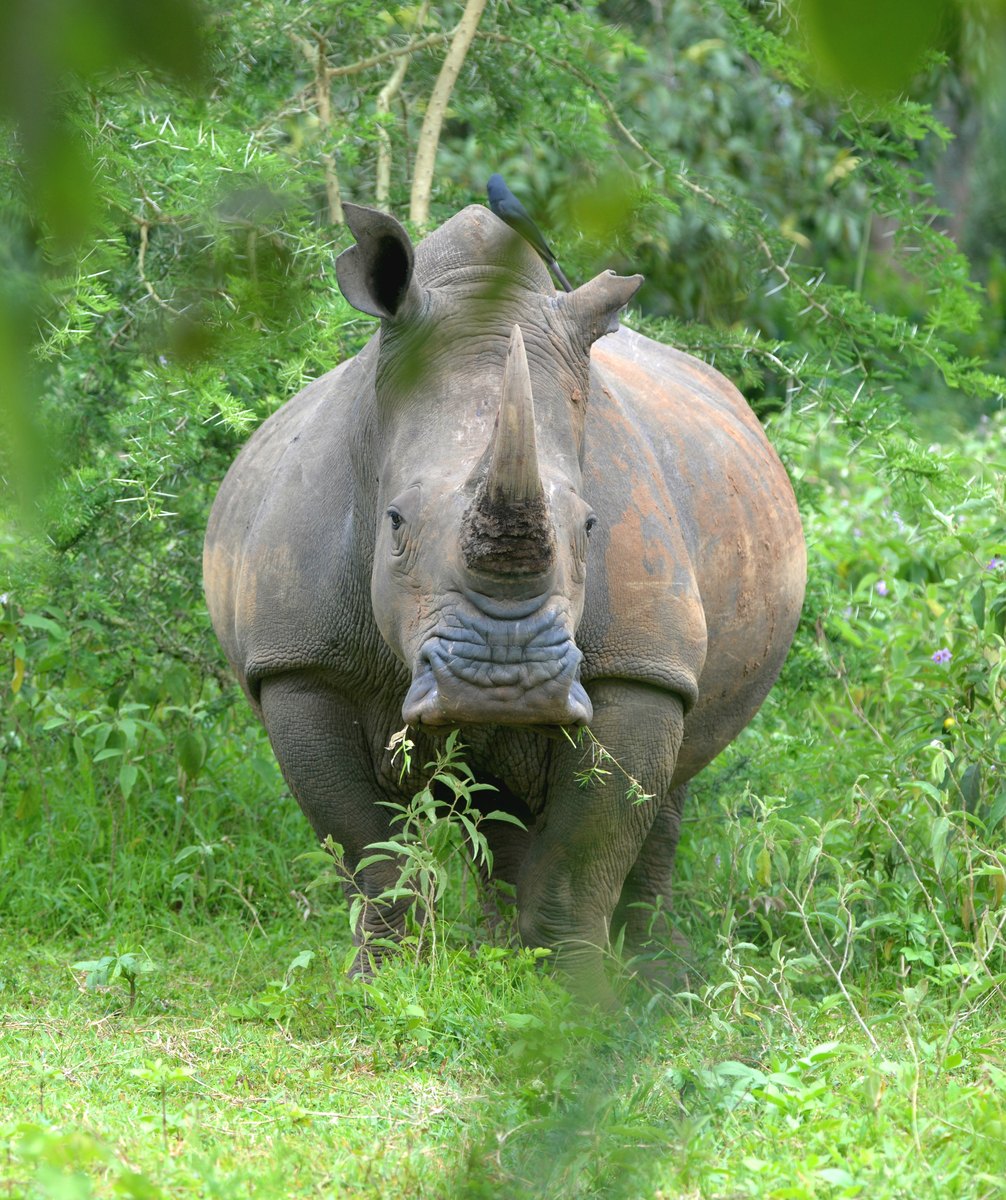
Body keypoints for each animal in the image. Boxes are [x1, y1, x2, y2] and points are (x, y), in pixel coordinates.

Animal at [203, 200, 806, 1006]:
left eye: (590, 527)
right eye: (395, 524)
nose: (505, 681)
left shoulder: (641, 667)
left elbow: (587, 852)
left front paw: (577, 998)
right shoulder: (301, 664)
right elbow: (366, 848)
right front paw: (381, 986)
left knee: (671, 781)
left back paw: (655, 978)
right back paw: (502, 952)